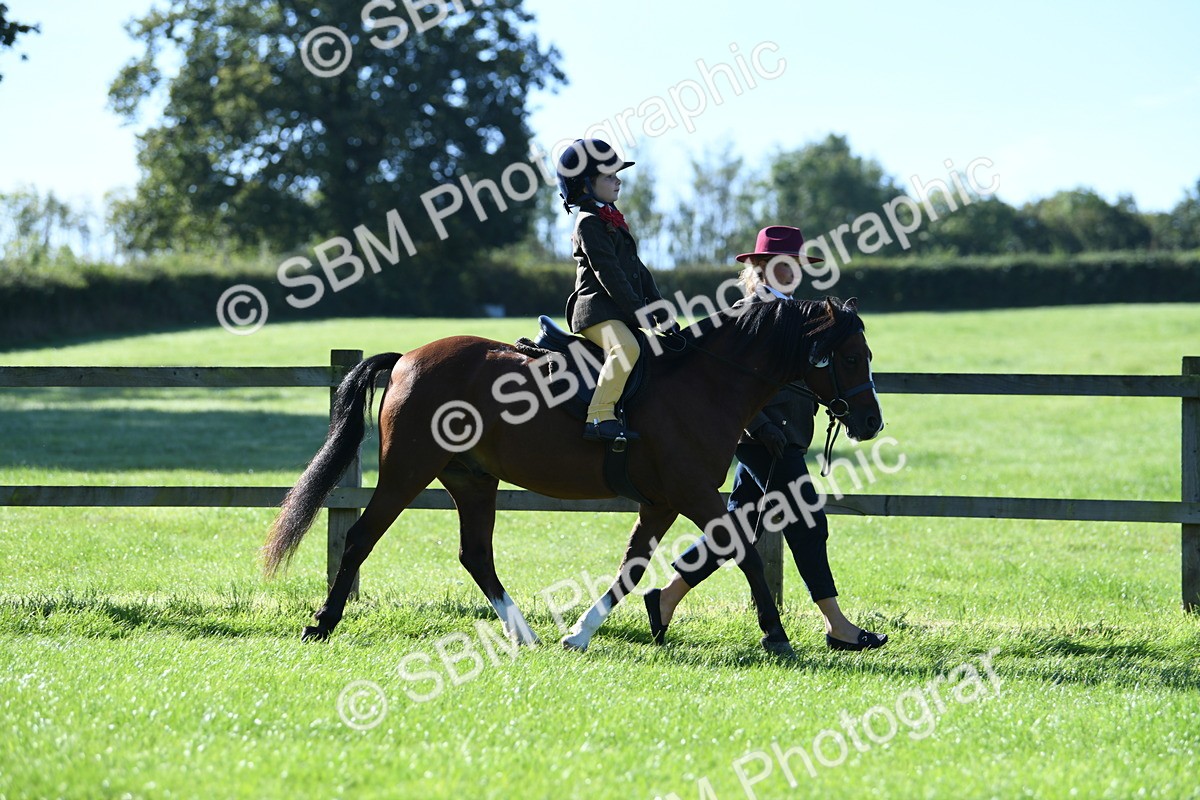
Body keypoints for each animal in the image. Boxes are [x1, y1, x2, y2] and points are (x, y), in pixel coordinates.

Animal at [261, 296, 884, 654]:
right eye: (852, 357)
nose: (872, 422)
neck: (706, 381)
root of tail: (409, 358)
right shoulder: (690, 493)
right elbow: (747, 553)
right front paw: (776, 636)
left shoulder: (661, 501)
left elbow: (633, 569)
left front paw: (584, 632)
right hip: (407, 471)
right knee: (361, 538)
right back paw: (322, 623)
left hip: (471, 480)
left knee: (476, 556)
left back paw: (524, 633)